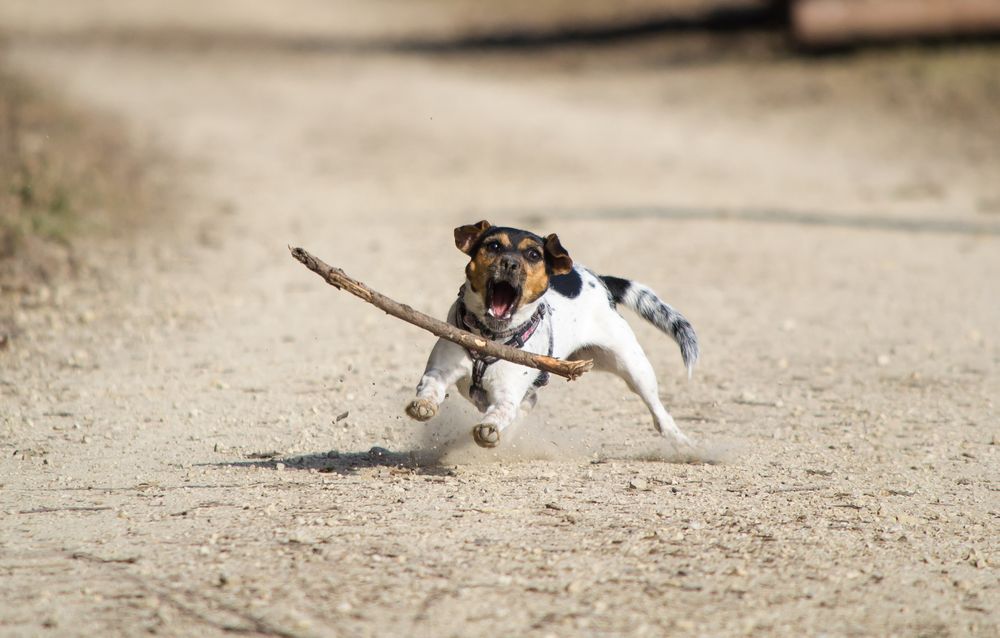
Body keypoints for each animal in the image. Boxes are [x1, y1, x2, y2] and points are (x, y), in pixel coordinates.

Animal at [402, 222, 700, 452]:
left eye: (533, 254)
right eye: (494, 246)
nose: (509, 263)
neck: (490, 338)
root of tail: (601, 280)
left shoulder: (508, 394)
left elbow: (501, 411)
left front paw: (489, 428)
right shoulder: (440, 370)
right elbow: (430, 387)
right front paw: (423, 405)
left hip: (633, 366)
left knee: (659, 412)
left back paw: (683, 443)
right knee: (529, 404)